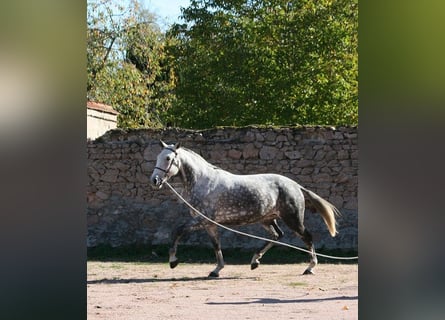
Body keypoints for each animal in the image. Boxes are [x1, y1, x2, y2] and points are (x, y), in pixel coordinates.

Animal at [150, 141, 340, 276]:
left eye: (168, 159)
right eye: (158, 157)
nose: (155, 180)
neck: (203, 181)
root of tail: (296, 186)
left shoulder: (201, 220)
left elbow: (177, 230)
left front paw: (173, 261)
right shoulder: (209, 224)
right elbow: (216, 245)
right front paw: (216, 270)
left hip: (292, 219)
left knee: (307, 237)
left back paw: (310, 268)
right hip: (267, 219)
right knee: (277, 235)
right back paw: (255, 261)